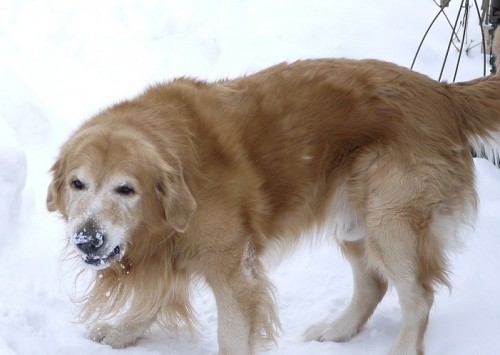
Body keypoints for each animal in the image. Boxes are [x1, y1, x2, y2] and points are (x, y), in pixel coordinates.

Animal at [47, 48, 500, 355]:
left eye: (126, 189)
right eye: (77, 184)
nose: (88, 239)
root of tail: (441, 93)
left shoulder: (235, 269)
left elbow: (231, 334)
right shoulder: (167, 251)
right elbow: (153, 297)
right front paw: (123, 332)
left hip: (391, 219)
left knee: (418, 296)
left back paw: (401, 347)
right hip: (355, 221)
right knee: (373, 283)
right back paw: (338, 330)